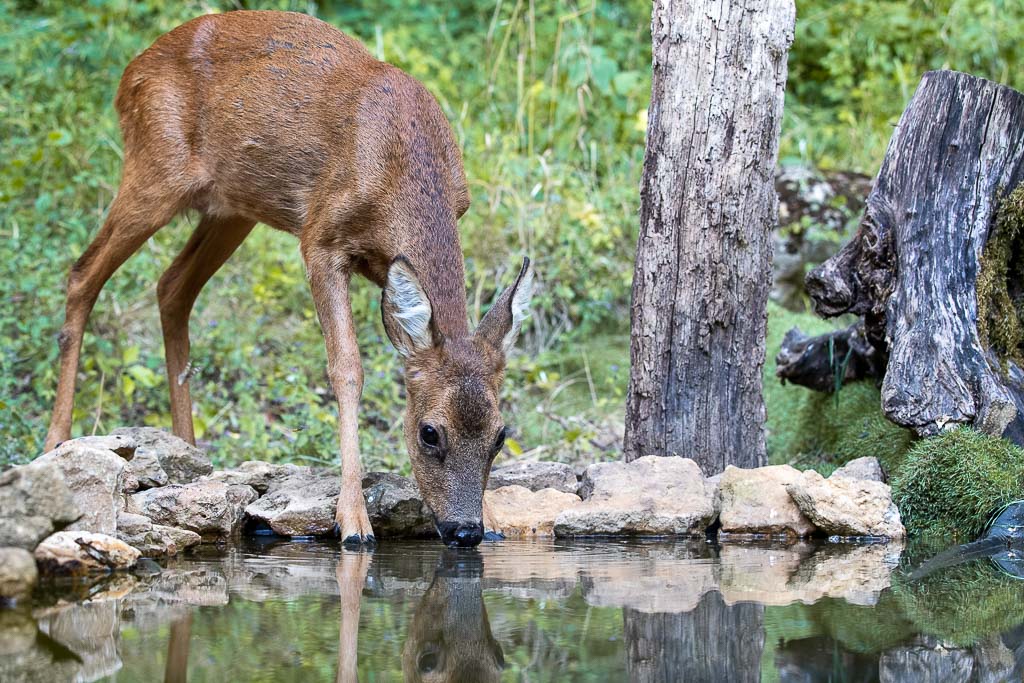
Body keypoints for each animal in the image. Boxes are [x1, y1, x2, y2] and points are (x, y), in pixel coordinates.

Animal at [43, 9, 532, 548]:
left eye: (501, 435)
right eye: (429, 432)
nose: (466, 530)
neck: (402, 168)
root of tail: (129, 73)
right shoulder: (320, 238)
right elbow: (347, 369)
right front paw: (353, 521)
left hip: (232, 208)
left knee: (171, 286)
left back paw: (189, 453)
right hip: (155, 170)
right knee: (82, 273)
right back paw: (55, 442)